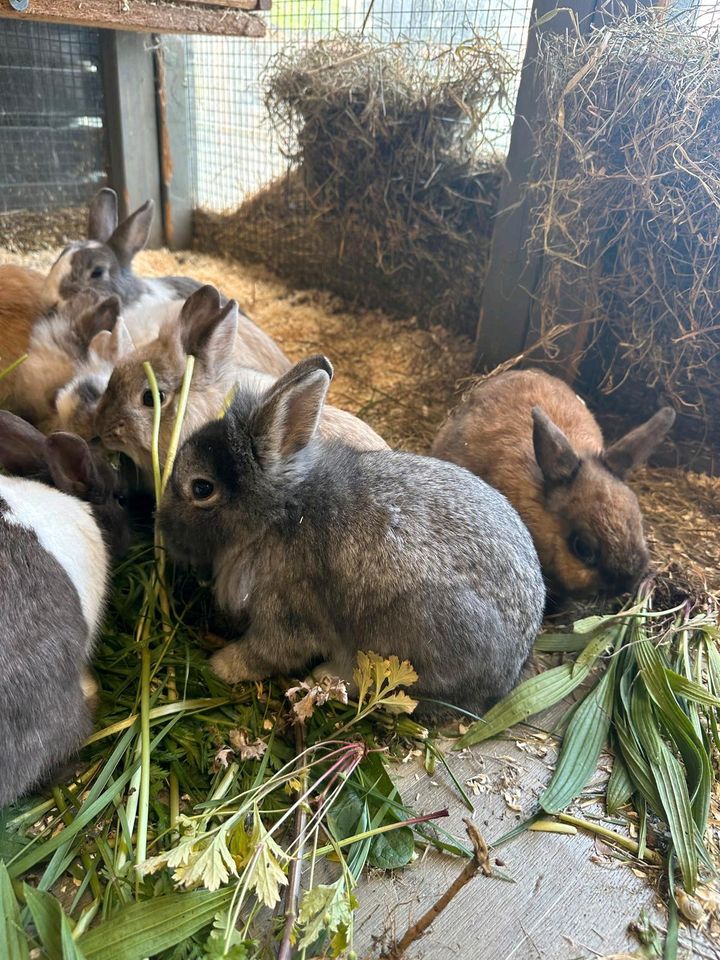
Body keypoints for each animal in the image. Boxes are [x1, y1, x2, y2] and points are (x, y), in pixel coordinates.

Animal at [155, 356, 544, 716]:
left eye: (202, 488)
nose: (161, 526)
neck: (279, 511)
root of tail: (509, 672)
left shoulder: (286, 610)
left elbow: (268, 652)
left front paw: (220, 664)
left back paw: (323, 677)